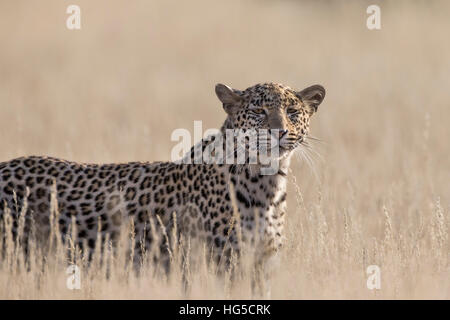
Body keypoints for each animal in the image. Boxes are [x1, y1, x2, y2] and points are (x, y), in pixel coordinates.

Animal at [0, 82, 326, 290]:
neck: (267, 183)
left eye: (293, 112)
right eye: (259, 111)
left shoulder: (262, 267)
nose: (280, 131)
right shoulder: (222, 266)